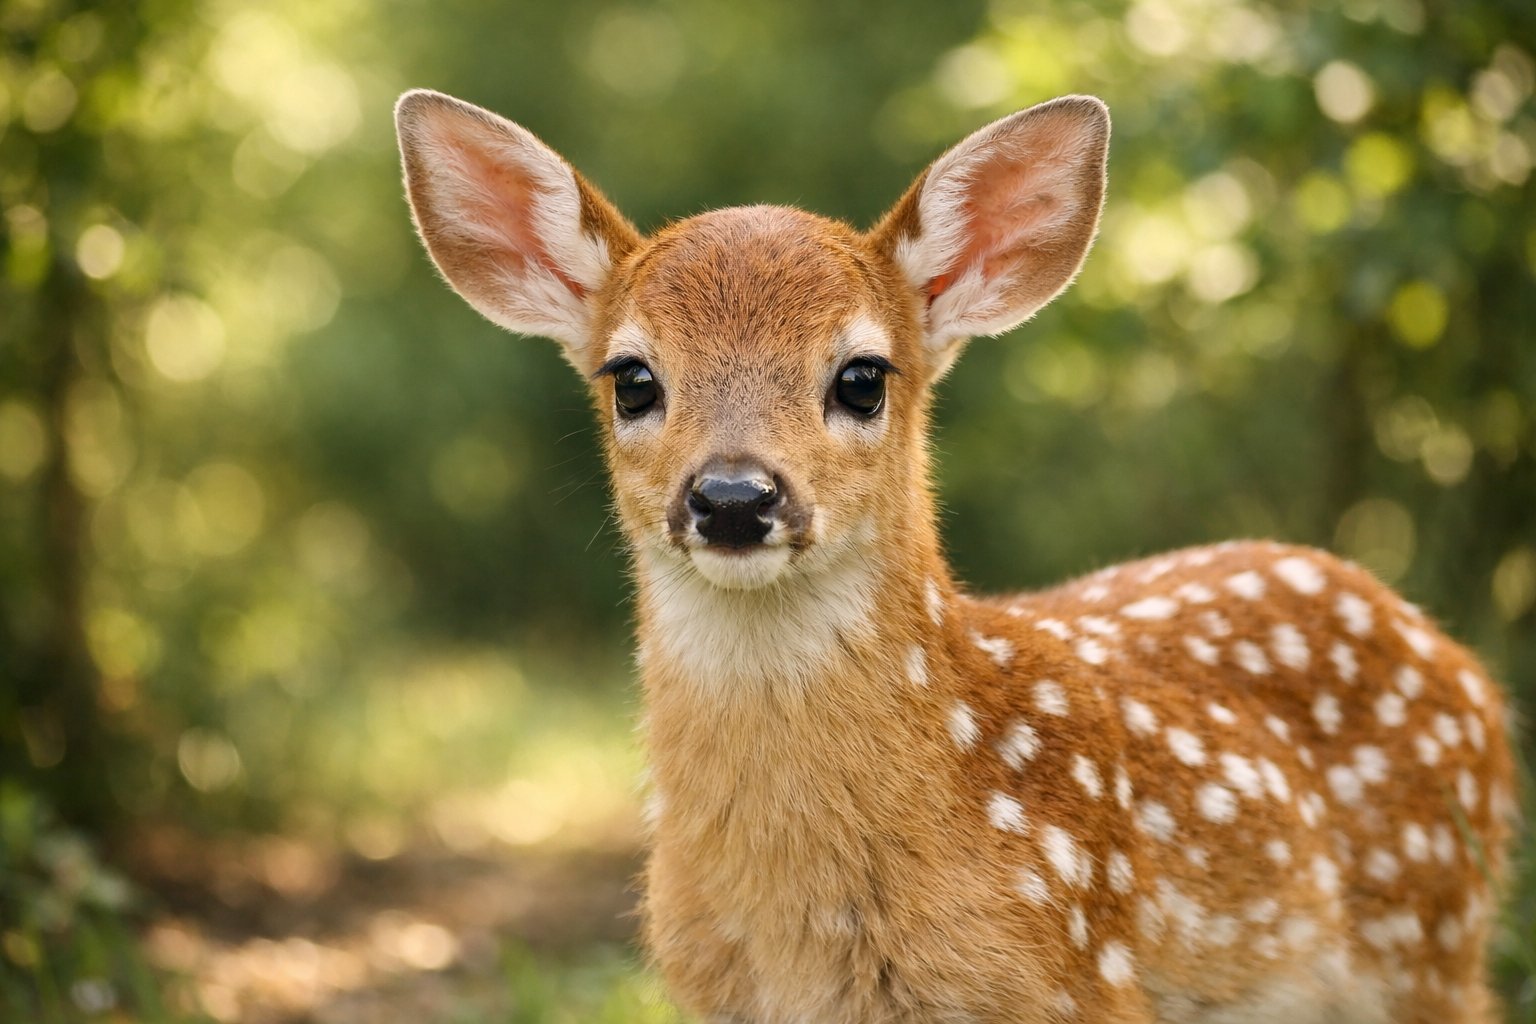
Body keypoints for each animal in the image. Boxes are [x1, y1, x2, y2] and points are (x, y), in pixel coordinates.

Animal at [393, 89, 1517, 1024]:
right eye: (632, 378)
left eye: (862, 376)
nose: (734, 498)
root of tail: (1456, 659)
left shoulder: (1082, 980)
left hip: (1433, 941)